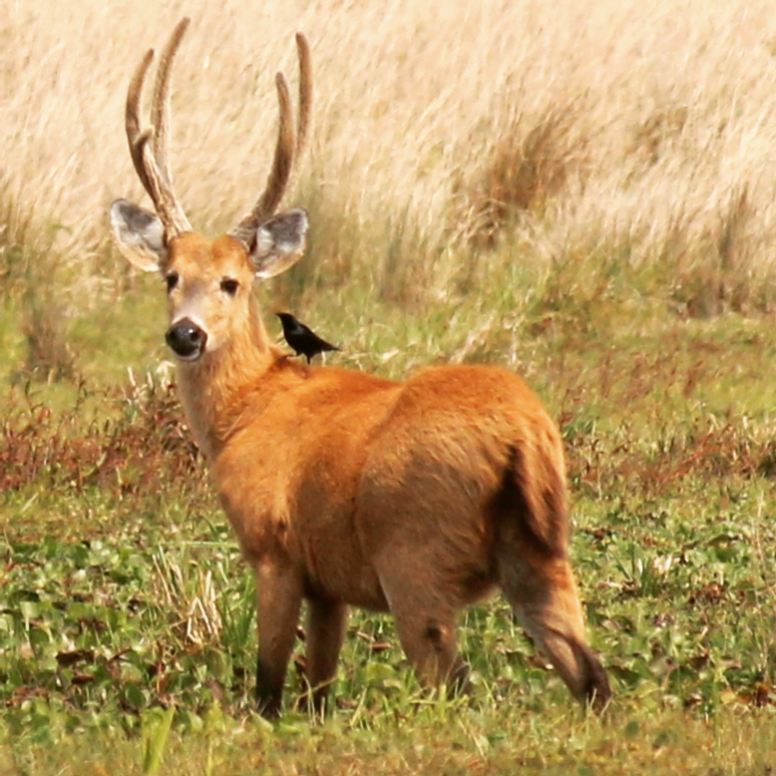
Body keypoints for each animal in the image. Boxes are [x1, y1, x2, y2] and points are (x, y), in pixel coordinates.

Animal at [109, 18, 611, 719]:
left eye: (232, 282)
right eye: (170, 277)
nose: (185, 334)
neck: (247, 411)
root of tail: (522, 434)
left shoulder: (276, 546)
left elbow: (270, 684)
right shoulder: (331, 581)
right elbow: (318, 684)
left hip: (414, 554)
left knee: (450, 683)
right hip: (541, 554)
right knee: (592, 675)